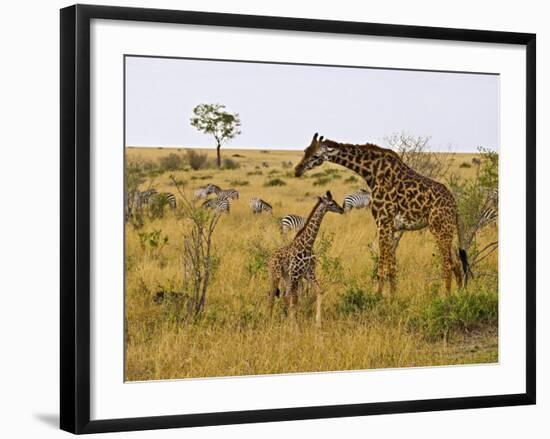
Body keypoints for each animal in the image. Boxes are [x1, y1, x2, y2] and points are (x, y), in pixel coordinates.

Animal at [268, 192, 344, 326]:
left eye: (334, 202)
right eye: (331, 203)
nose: (341, 209)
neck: (307, 245)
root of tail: (270, 258)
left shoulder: (308, 273)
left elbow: (320, 291)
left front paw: (318, 322)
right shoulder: (296, 275)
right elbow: (295, 301)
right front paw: (296, 326)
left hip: (286, 276)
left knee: (284, 296)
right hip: (275, 275)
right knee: (272, 297)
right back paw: (270, 322)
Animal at [296, 131, 472, 296]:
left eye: (316, 155)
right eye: (305, 150)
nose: (297, 170)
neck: (371, 172)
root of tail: (455, 206)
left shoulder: (383, 222)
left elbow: (381, 265)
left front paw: (378, 296)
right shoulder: (391, 227)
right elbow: (392, 267)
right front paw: (392, 297)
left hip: (439, 228)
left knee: (448, 264)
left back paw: (446, 298)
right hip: (447, 230)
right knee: (457, 263)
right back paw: (459, 295)